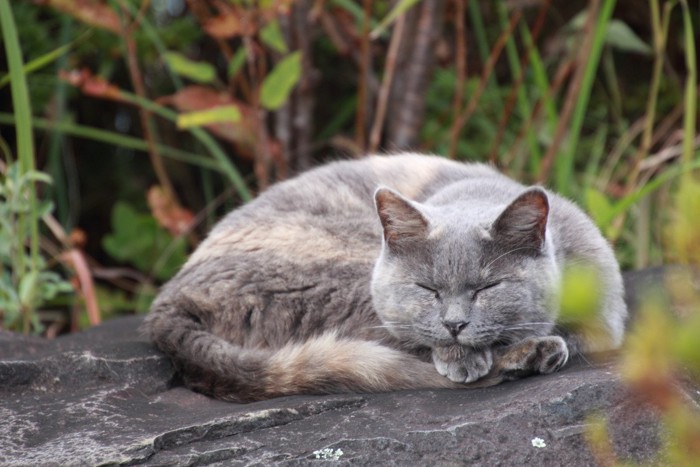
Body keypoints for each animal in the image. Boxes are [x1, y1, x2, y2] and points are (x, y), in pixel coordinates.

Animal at [145, 154, 628, 402]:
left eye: (487, 288)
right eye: (426, 289)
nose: (454, 324)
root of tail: (166, 303)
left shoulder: (604, 317)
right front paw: (472, 356)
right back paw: (528, 356)